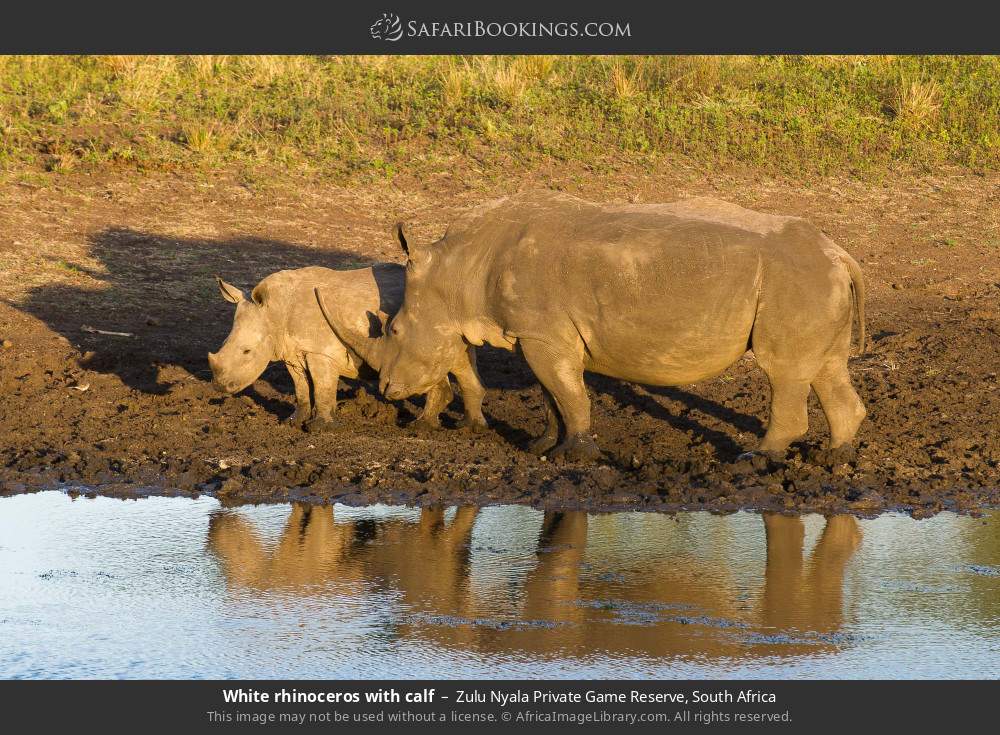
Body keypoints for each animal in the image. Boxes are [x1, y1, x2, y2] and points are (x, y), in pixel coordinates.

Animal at [207, 265, 486, 433]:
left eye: (247, 352)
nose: (219, 387)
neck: (274, 313)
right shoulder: (291, 351)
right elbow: (300, 386)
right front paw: (294, 421)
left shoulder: (319, 350)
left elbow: (322, 386)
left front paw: (321, 427)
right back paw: (428, 425)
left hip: (439, 321)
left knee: (454, 361)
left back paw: (429, 428)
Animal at [366, 191, 866, 462]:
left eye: (394, 330)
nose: (387, 389)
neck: (460, 269)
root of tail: (841, 253)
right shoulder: (536, 334)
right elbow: (552, 394)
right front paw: (541, 448)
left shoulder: (543, 332)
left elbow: (568, 392)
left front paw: (579, 455)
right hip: (814, 282)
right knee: (825, 367)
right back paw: (835, 458)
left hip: (795, 282)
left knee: (782, 369)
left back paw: (756, 459)